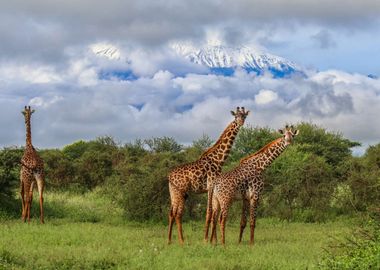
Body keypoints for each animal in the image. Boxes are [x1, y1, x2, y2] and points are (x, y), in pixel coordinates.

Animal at [168, 106, 251, 244]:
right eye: (235, 116)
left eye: (244, 116)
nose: (241, 123)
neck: (219, 159)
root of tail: (169, 176)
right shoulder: (211, 185)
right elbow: (210, 212)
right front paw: (207, 239)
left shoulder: (211, 188)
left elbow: (213, 213)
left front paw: (213, 240)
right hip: (181, 191)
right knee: (178, 214)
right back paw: (182, 241)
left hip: (174, 192)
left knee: (171, 213)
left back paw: (169, 241)